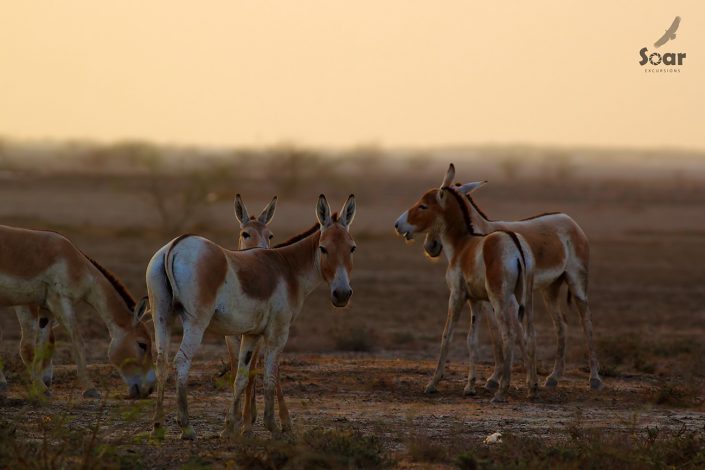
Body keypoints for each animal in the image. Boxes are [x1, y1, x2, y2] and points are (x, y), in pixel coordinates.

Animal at [0, 224, 155, 396]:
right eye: (142, 344)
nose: (149, 389)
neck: (74, 262)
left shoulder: (45, 308)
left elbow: (42, 344)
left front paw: (41, 386)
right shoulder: (58, 300)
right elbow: (77, 342)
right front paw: (89, 388)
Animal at [148, 193, 358, 438]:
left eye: (352, 248)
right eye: (323, 248)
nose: (342, 294)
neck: (288, 269)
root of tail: (175, 245)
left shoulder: (251, 334)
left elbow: (241, 376)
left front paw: (231, 427)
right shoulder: (278, 332)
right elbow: (269, 376)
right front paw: (272, 426)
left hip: (162, 316)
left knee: (161, 361)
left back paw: (157, 426)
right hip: (196, 322)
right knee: (182, 360)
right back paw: (186, 426)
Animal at [394, 167, 536, 402]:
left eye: (423, 205)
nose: (397, 224)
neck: (461, 244)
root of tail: (514, 244)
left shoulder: (457, 295)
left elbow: (447, 335)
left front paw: (433, 383)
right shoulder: (475, 300)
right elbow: (472, 340)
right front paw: (470, 386)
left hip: (500, 299)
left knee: (508, 334)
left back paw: (501, 390)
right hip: (524, 298)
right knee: (526, 333)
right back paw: (532, 386)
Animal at [420, 171, 604, 392]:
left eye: (428, 208)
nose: (431, 246)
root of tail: (569, 218)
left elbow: (499, 332)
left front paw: (497, 379)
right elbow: (499, 332)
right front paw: (502, 378)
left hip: (576, 282)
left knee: (587, 323)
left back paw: (594, 378)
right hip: (550, 288)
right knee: (561, 325)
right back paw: (553, 377)